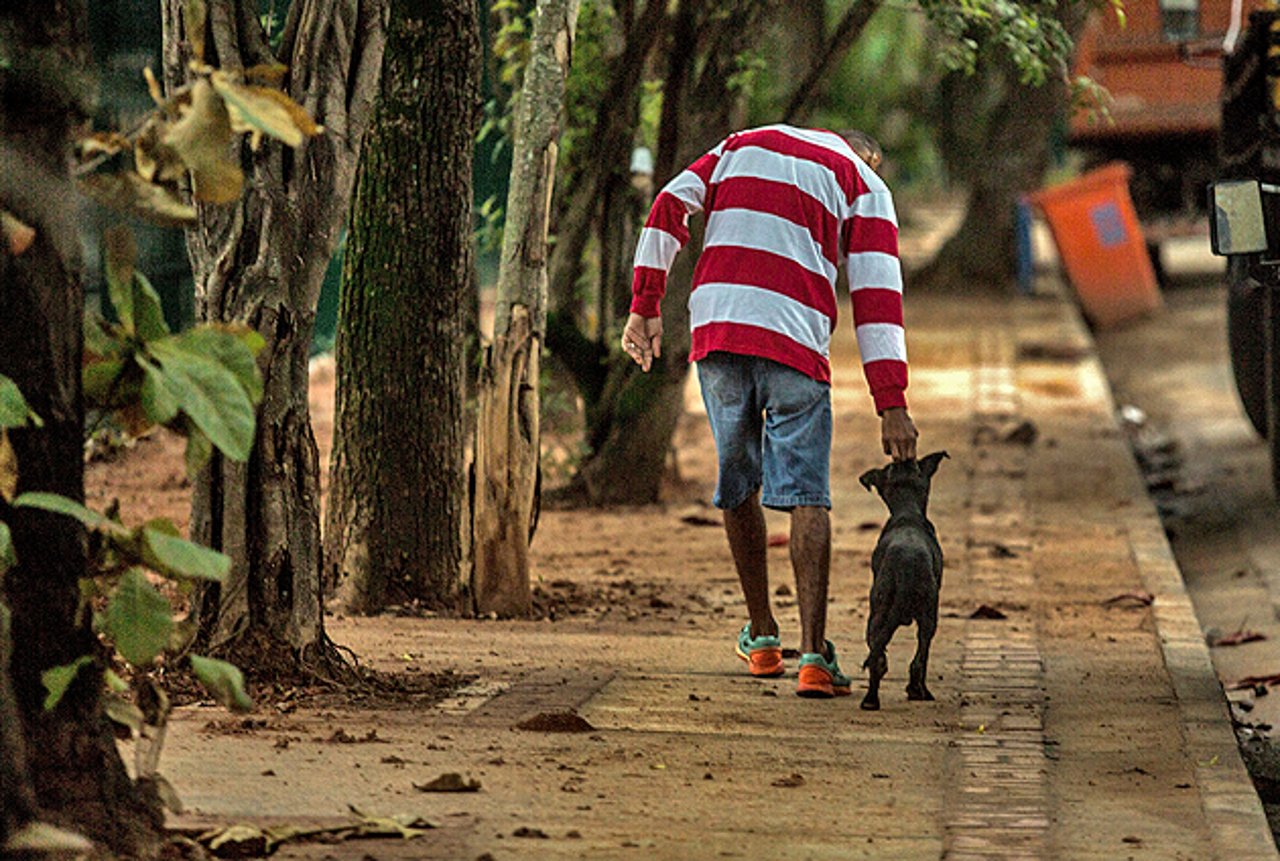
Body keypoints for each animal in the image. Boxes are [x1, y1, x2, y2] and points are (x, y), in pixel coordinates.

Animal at [855, 452, 947, 706]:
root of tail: (906, 567)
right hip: (921, 614)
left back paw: (872, 699)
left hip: (881, 610)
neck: (907, 512)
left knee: (879, 650)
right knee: (915, 660)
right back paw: (916, 691)